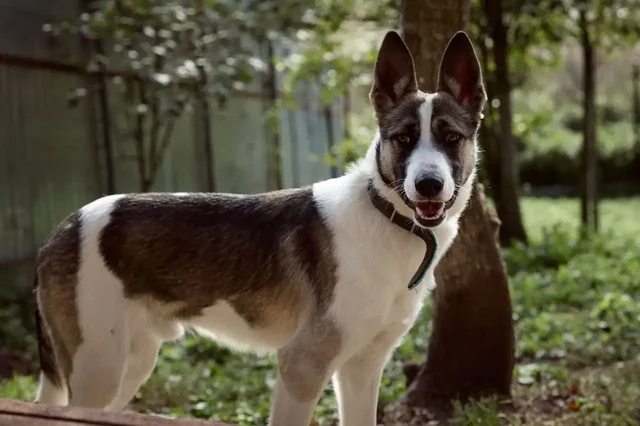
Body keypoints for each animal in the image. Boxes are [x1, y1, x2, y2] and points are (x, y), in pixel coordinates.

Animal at [33, 30, 486, 426]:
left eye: (450, 137)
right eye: (404, 138)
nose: (428, 184)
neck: (389, 219)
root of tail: (63, 227)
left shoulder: (361, 370)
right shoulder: (301, 366)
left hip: (131, 363)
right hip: (99, 369)